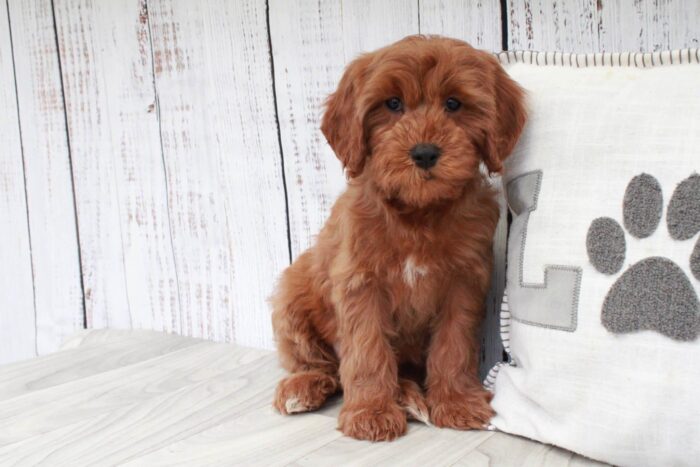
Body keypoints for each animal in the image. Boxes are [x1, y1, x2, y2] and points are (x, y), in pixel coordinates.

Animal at [270, 34, 524, 440]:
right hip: (292, 295)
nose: (424, 153)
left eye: (453, 104)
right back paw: (304, 386)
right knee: (322, 365)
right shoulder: (360, 285)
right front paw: (370, 412)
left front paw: (457, 402)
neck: (418, 213)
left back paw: (407, 396)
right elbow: (367, 350)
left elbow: (453, 345)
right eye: (392, 104)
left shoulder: (463, 284)